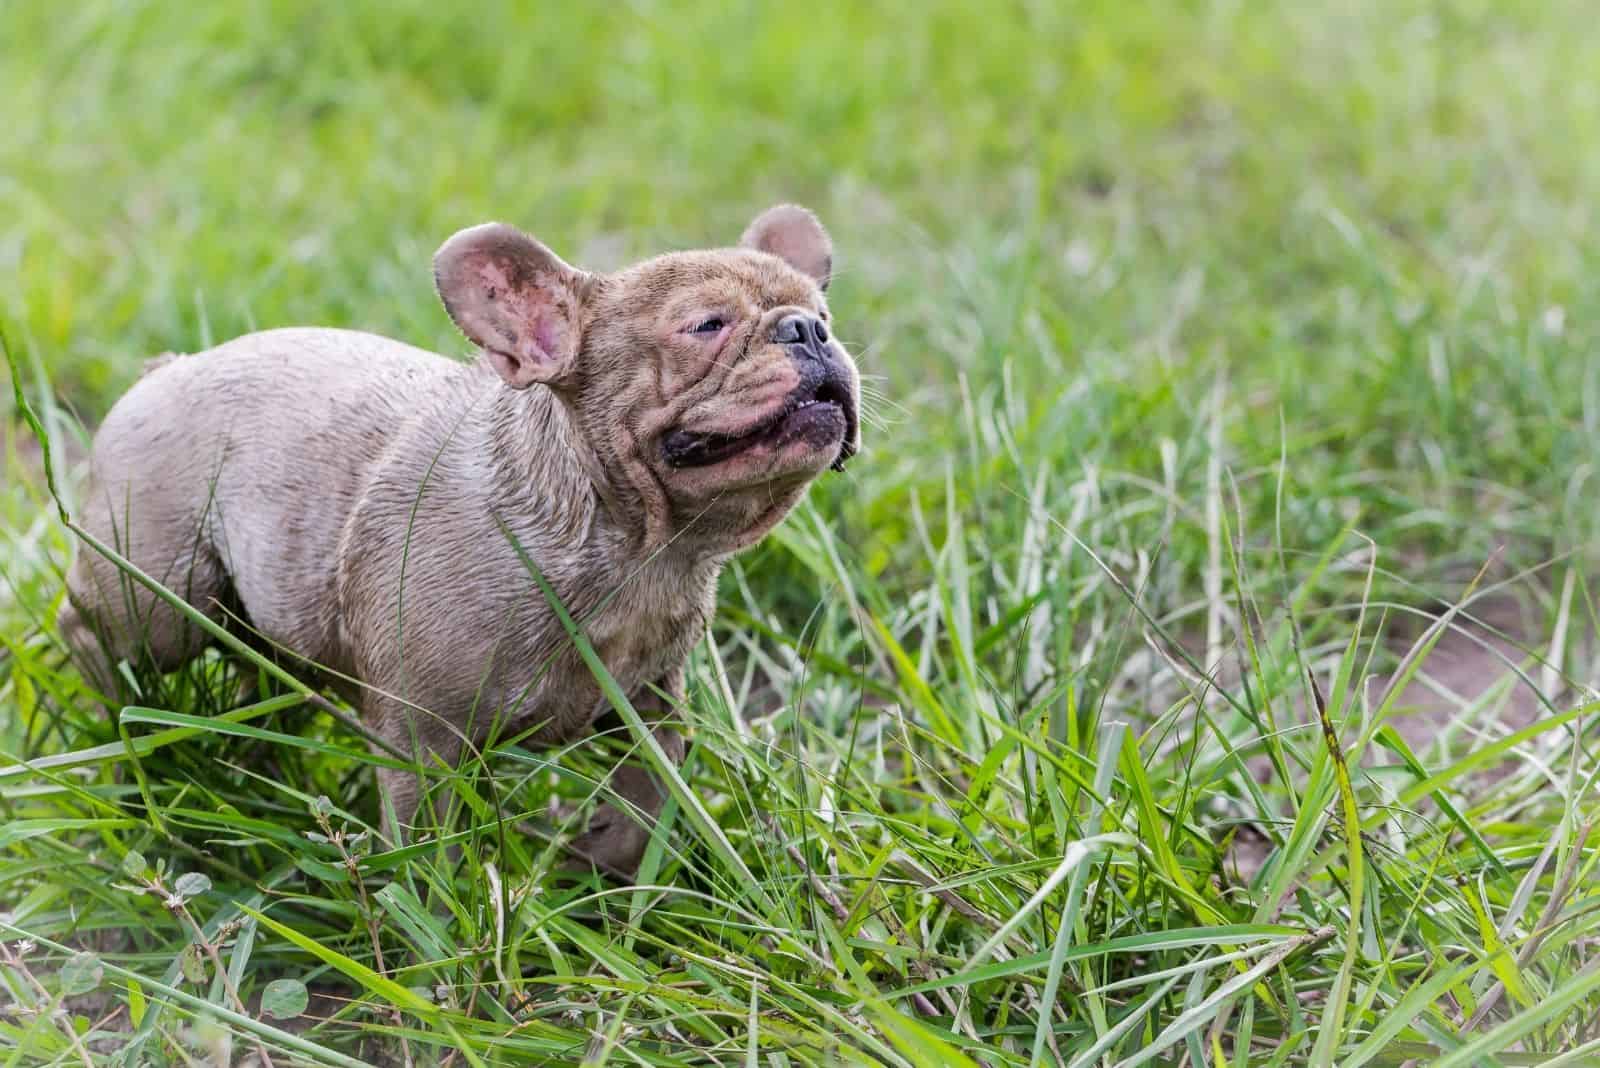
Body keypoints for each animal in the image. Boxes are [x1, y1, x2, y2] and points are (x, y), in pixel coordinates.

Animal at [56, 202, 864, 876]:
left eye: (826, 312)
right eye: (707, 326)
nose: (809, 330)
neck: (637, 546)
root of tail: (164, 372)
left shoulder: (649, 702)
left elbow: (648, 799)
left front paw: (603, 867)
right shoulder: (424, 741)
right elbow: (427, 844)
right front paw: (436, 912)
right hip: (158, 592)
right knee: (101, 629)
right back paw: (114, 732)